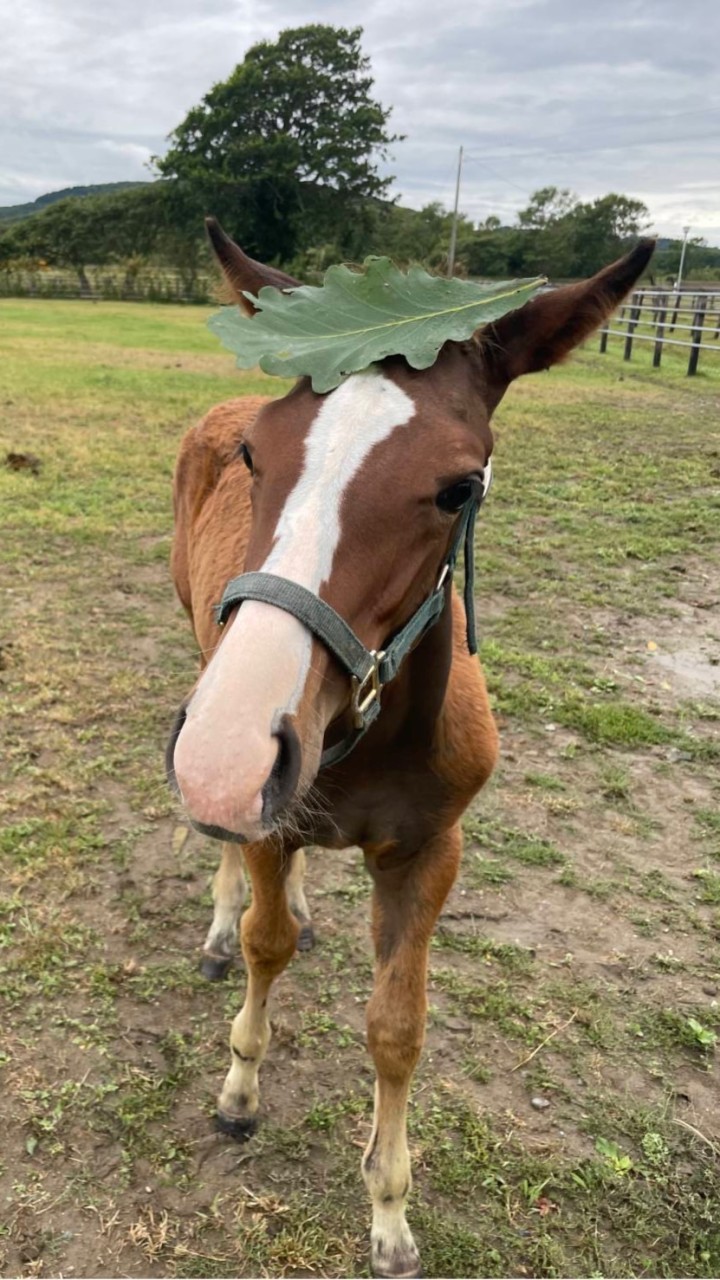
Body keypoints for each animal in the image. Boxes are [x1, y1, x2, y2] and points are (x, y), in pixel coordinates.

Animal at [166, 225, 650, 1274]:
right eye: (257, 455)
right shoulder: (261, 810)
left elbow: (397, 1028)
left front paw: (390, 1215)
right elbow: (265, 944)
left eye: (459, 486)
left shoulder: (431, 851)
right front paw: (239, 1088)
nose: (225, 757)